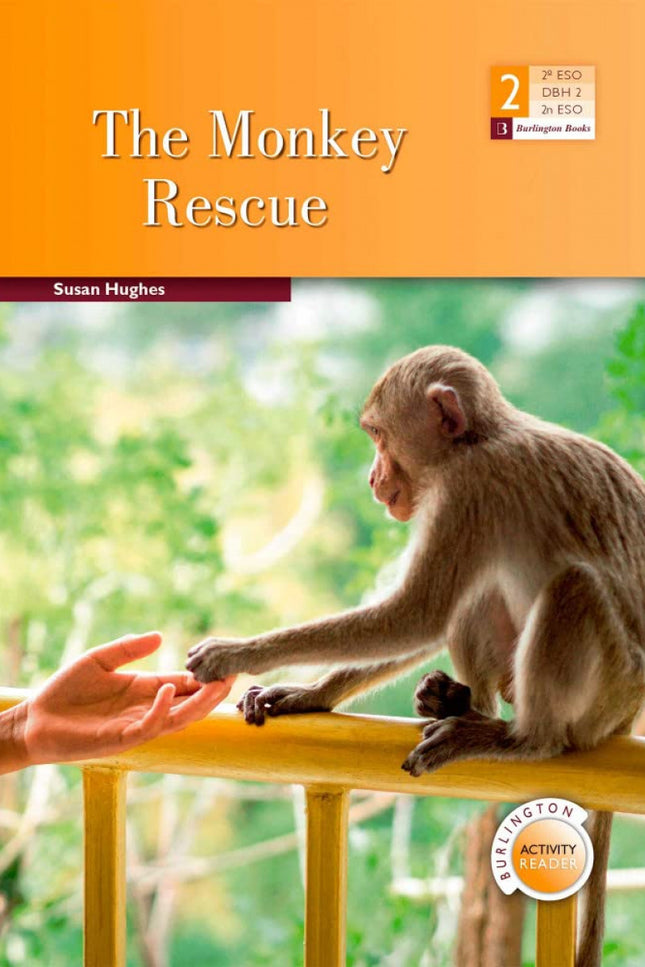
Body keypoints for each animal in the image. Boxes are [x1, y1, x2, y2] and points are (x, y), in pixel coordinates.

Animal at [187, 345, 645, 967]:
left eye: (379, 436)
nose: (373, 476)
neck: (477, 440)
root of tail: (628, 715)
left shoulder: (468, 490)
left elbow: (415, 613)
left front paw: (236, 653)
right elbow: (425, 619)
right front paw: (308, 693)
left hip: (609, 687)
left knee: (573, 588)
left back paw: (521, 738)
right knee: (479, 597)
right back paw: (465, 706)